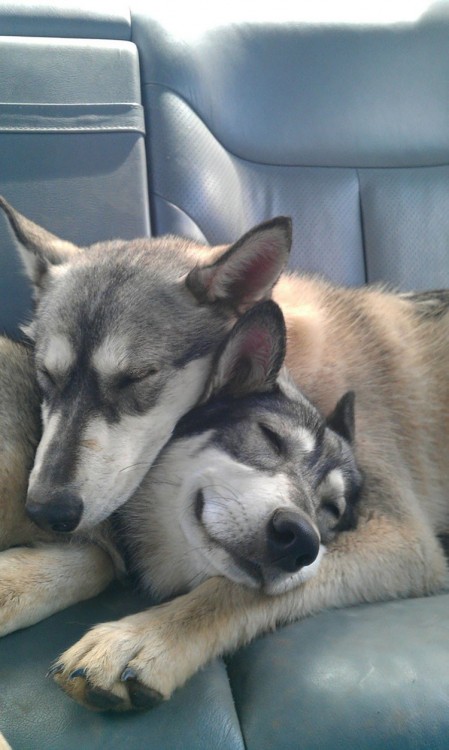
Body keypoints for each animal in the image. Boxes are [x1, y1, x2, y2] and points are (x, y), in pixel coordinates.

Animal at [0, 197, 446, 712]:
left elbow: (238, 589)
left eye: (137, 378)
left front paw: (144, 637)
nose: (45, 511)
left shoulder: (402, 540)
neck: (300, 362)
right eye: (46, 377)